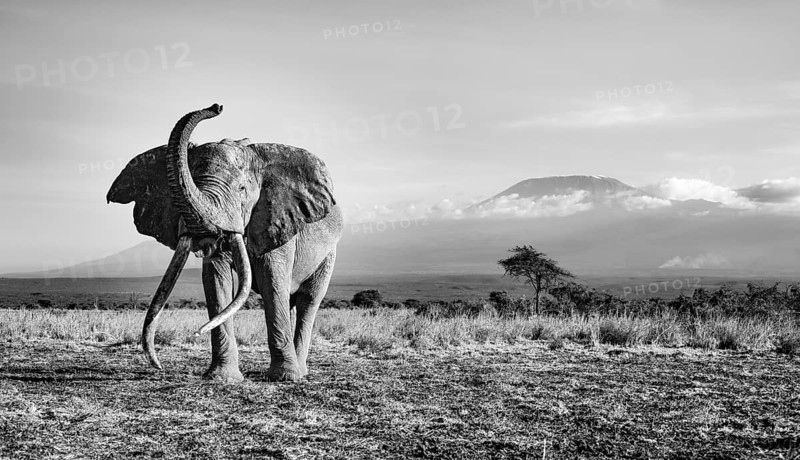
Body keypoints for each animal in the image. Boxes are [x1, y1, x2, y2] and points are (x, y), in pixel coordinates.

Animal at [107, 104, 343, 382]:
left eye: (242, 190)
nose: (216, 106)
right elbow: (216, 280)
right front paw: (222, 378)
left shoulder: (279, 221)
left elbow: (273, 282)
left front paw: (284, 378)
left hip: (329, 254)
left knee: (309, 300)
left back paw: (300, 372)